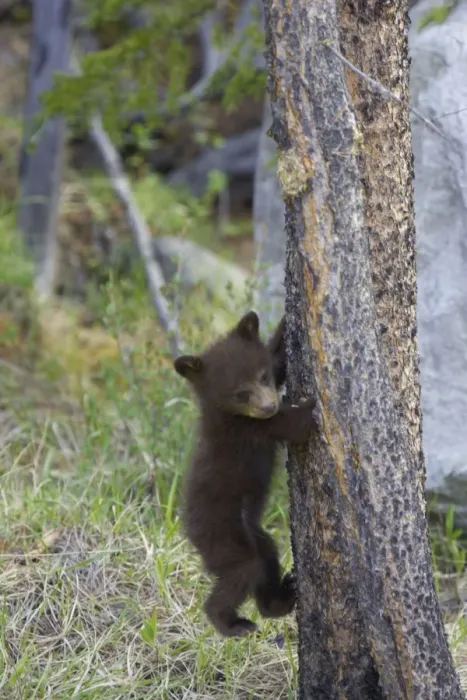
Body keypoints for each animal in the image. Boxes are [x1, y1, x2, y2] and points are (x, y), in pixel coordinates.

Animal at [174, 311, 317, 637]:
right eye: (241, 394)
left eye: (262, 376)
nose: (269, 404)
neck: (225, 413)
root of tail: (189, 530)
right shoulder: (249, 430)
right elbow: (294, 426)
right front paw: (308, 407)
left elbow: (278, 359)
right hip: (223, 536)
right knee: (242, 571)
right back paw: (231, 623)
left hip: (253, 533)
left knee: (267, 557)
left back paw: (280, 599)